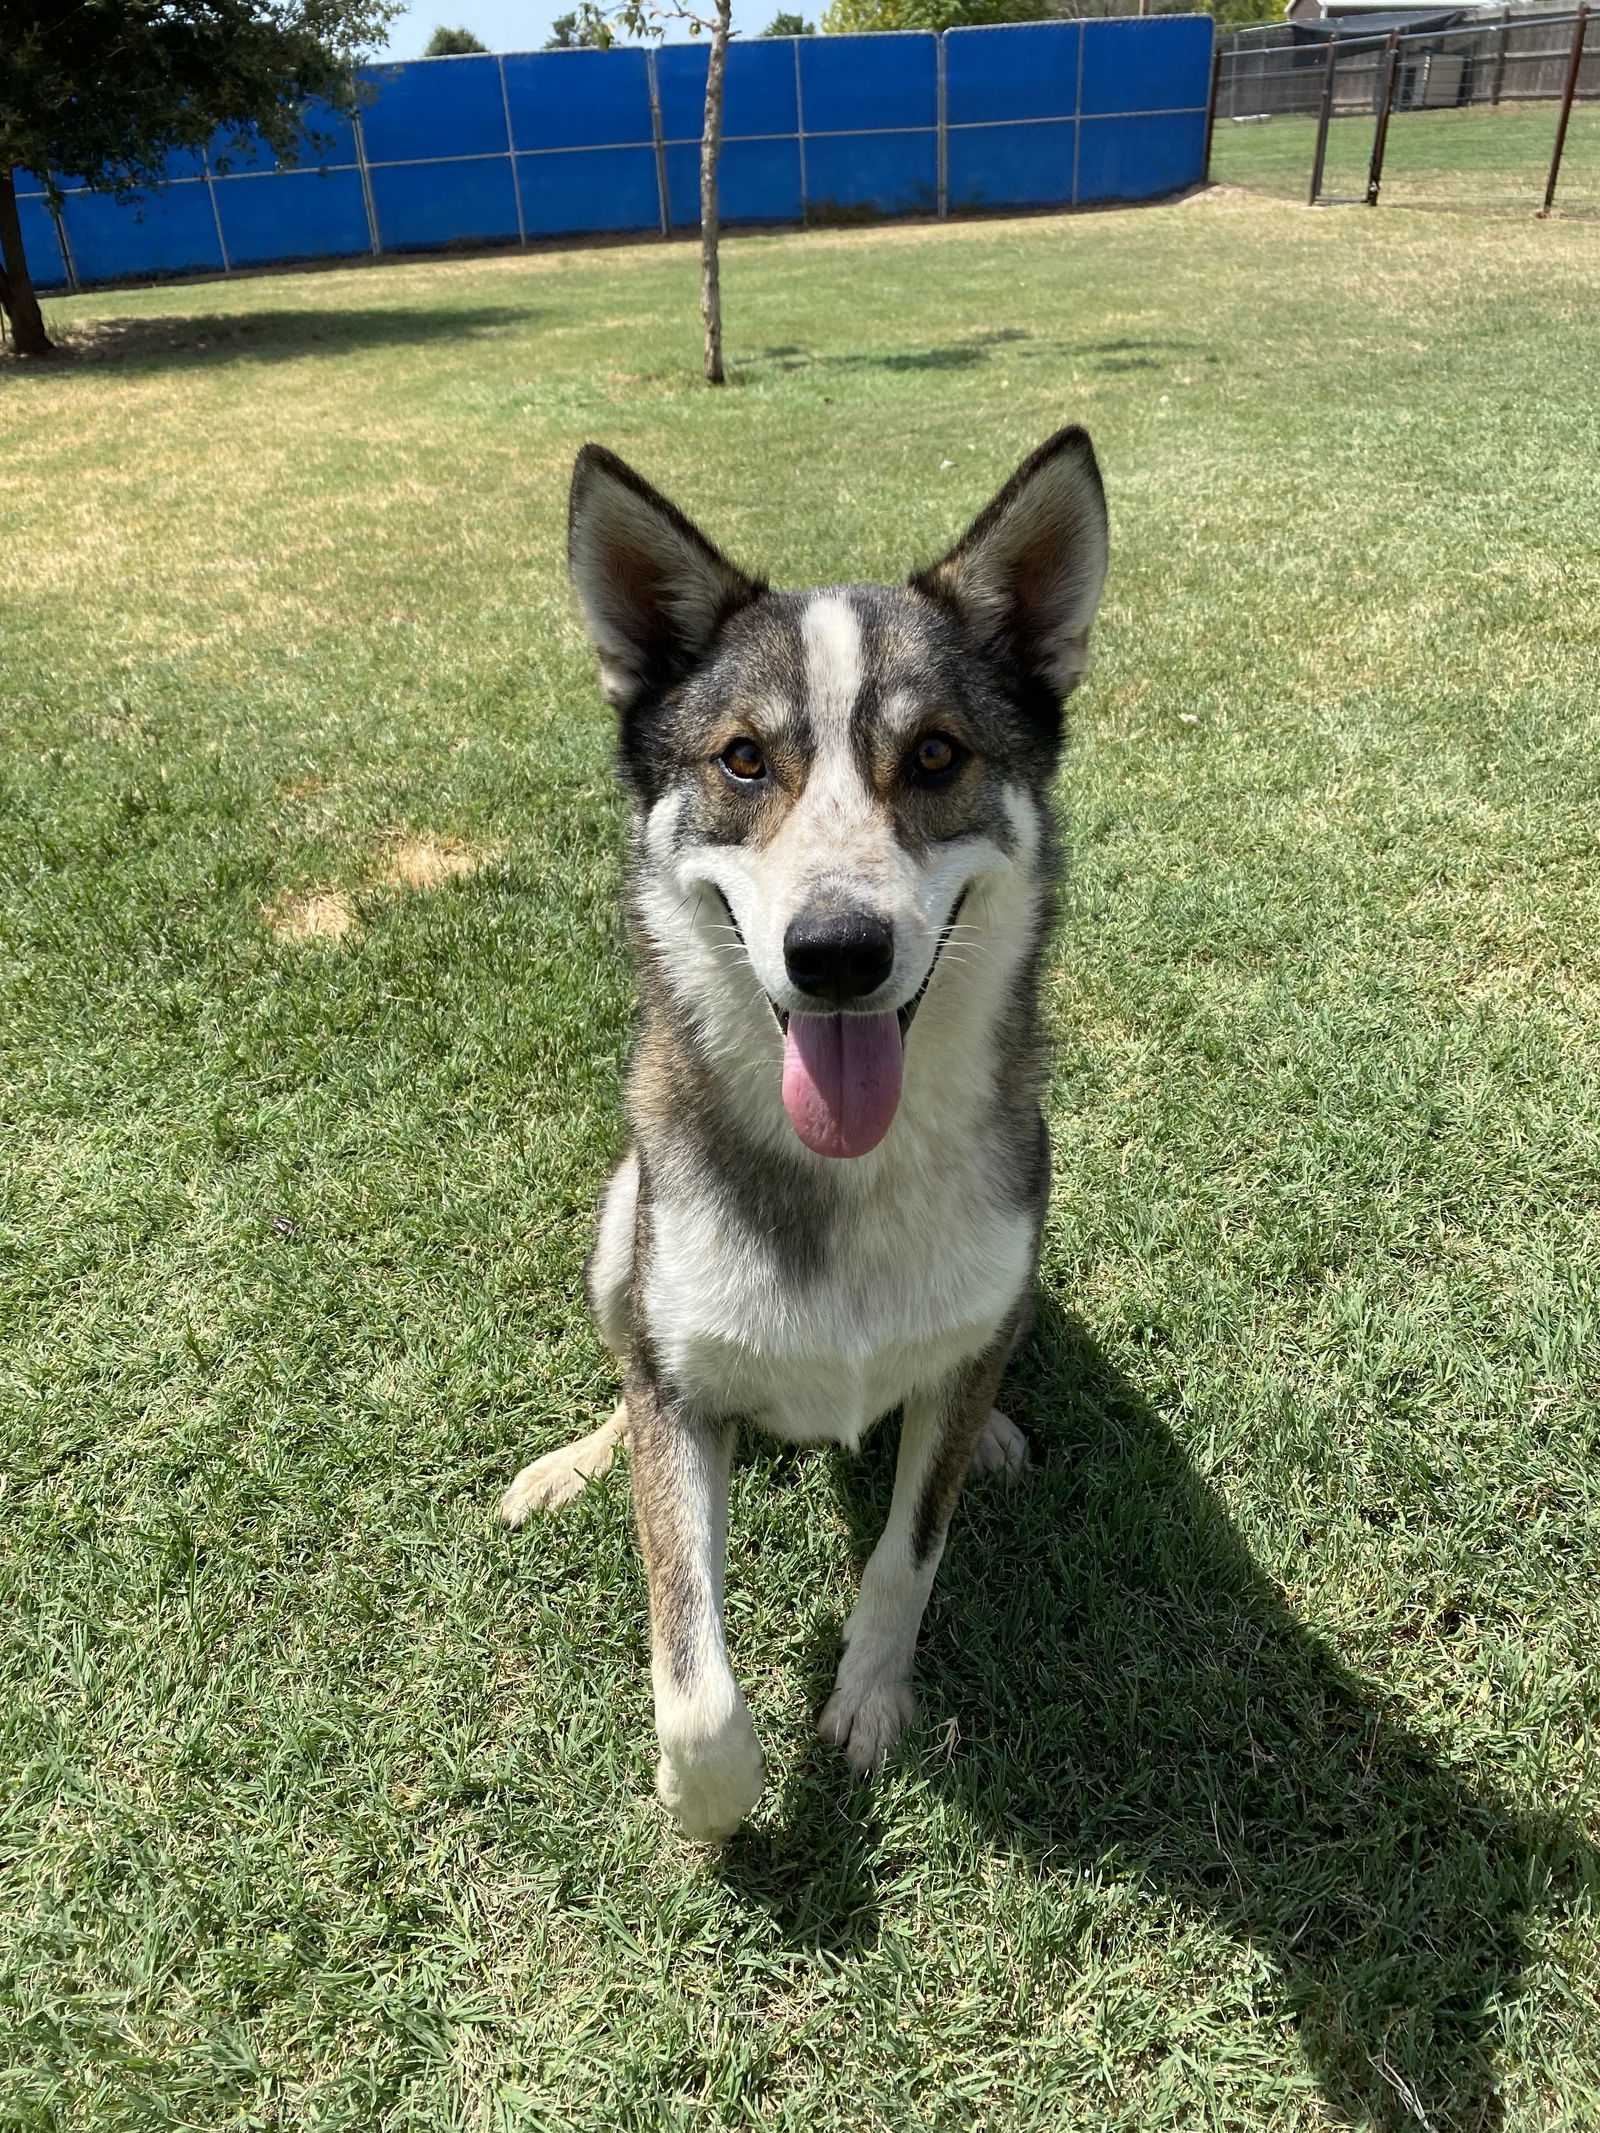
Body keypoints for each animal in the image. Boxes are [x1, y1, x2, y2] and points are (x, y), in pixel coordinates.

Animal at [507, 424, 1109, 1842]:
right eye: (740, 759)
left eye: (936, 756)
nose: (837, 953)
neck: (853, 1178)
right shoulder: (679, 1381)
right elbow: (689, 1653)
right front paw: (709, 1799)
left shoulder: (981, 1303)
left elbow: (907, 1556)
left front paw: (871, 1702)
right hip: (618, 1219)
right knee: (622, 1351)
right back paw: (576, 1459)